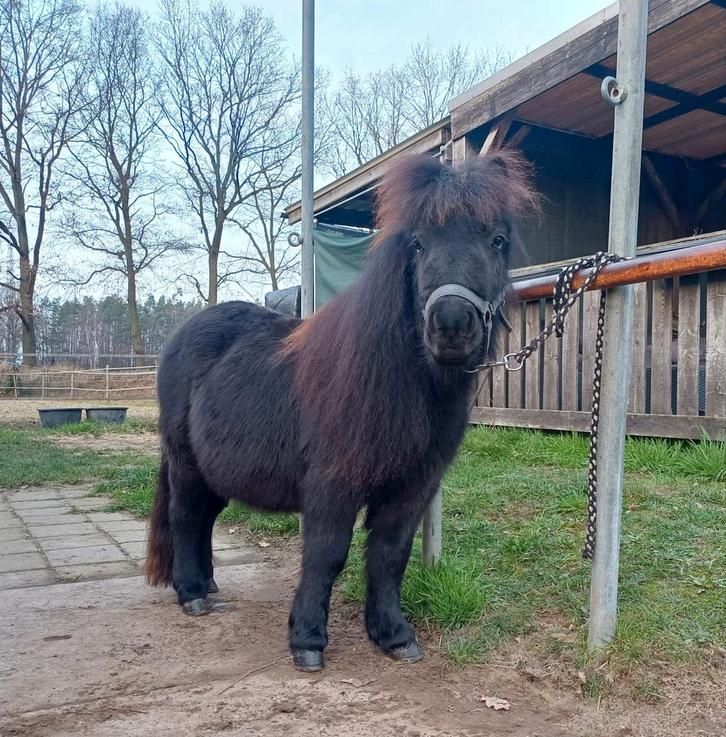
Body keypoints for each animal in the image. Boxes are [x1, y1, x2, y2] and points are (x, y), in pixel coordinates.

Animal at [146, 151, 537, 672]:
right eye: (418, 243)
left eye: (497, 240)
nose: (452, 325)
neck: (390, 382)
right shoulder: (333, 484)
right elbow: (326, 554)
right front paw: (307, 640)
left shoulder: (411, 489)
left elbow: (390, 556)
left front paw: (393, 635)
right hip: (186, 463)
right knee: (187, 516)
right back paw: (191, 593)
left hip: (217, 469)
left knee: (206, 517)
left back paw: (208, 585)